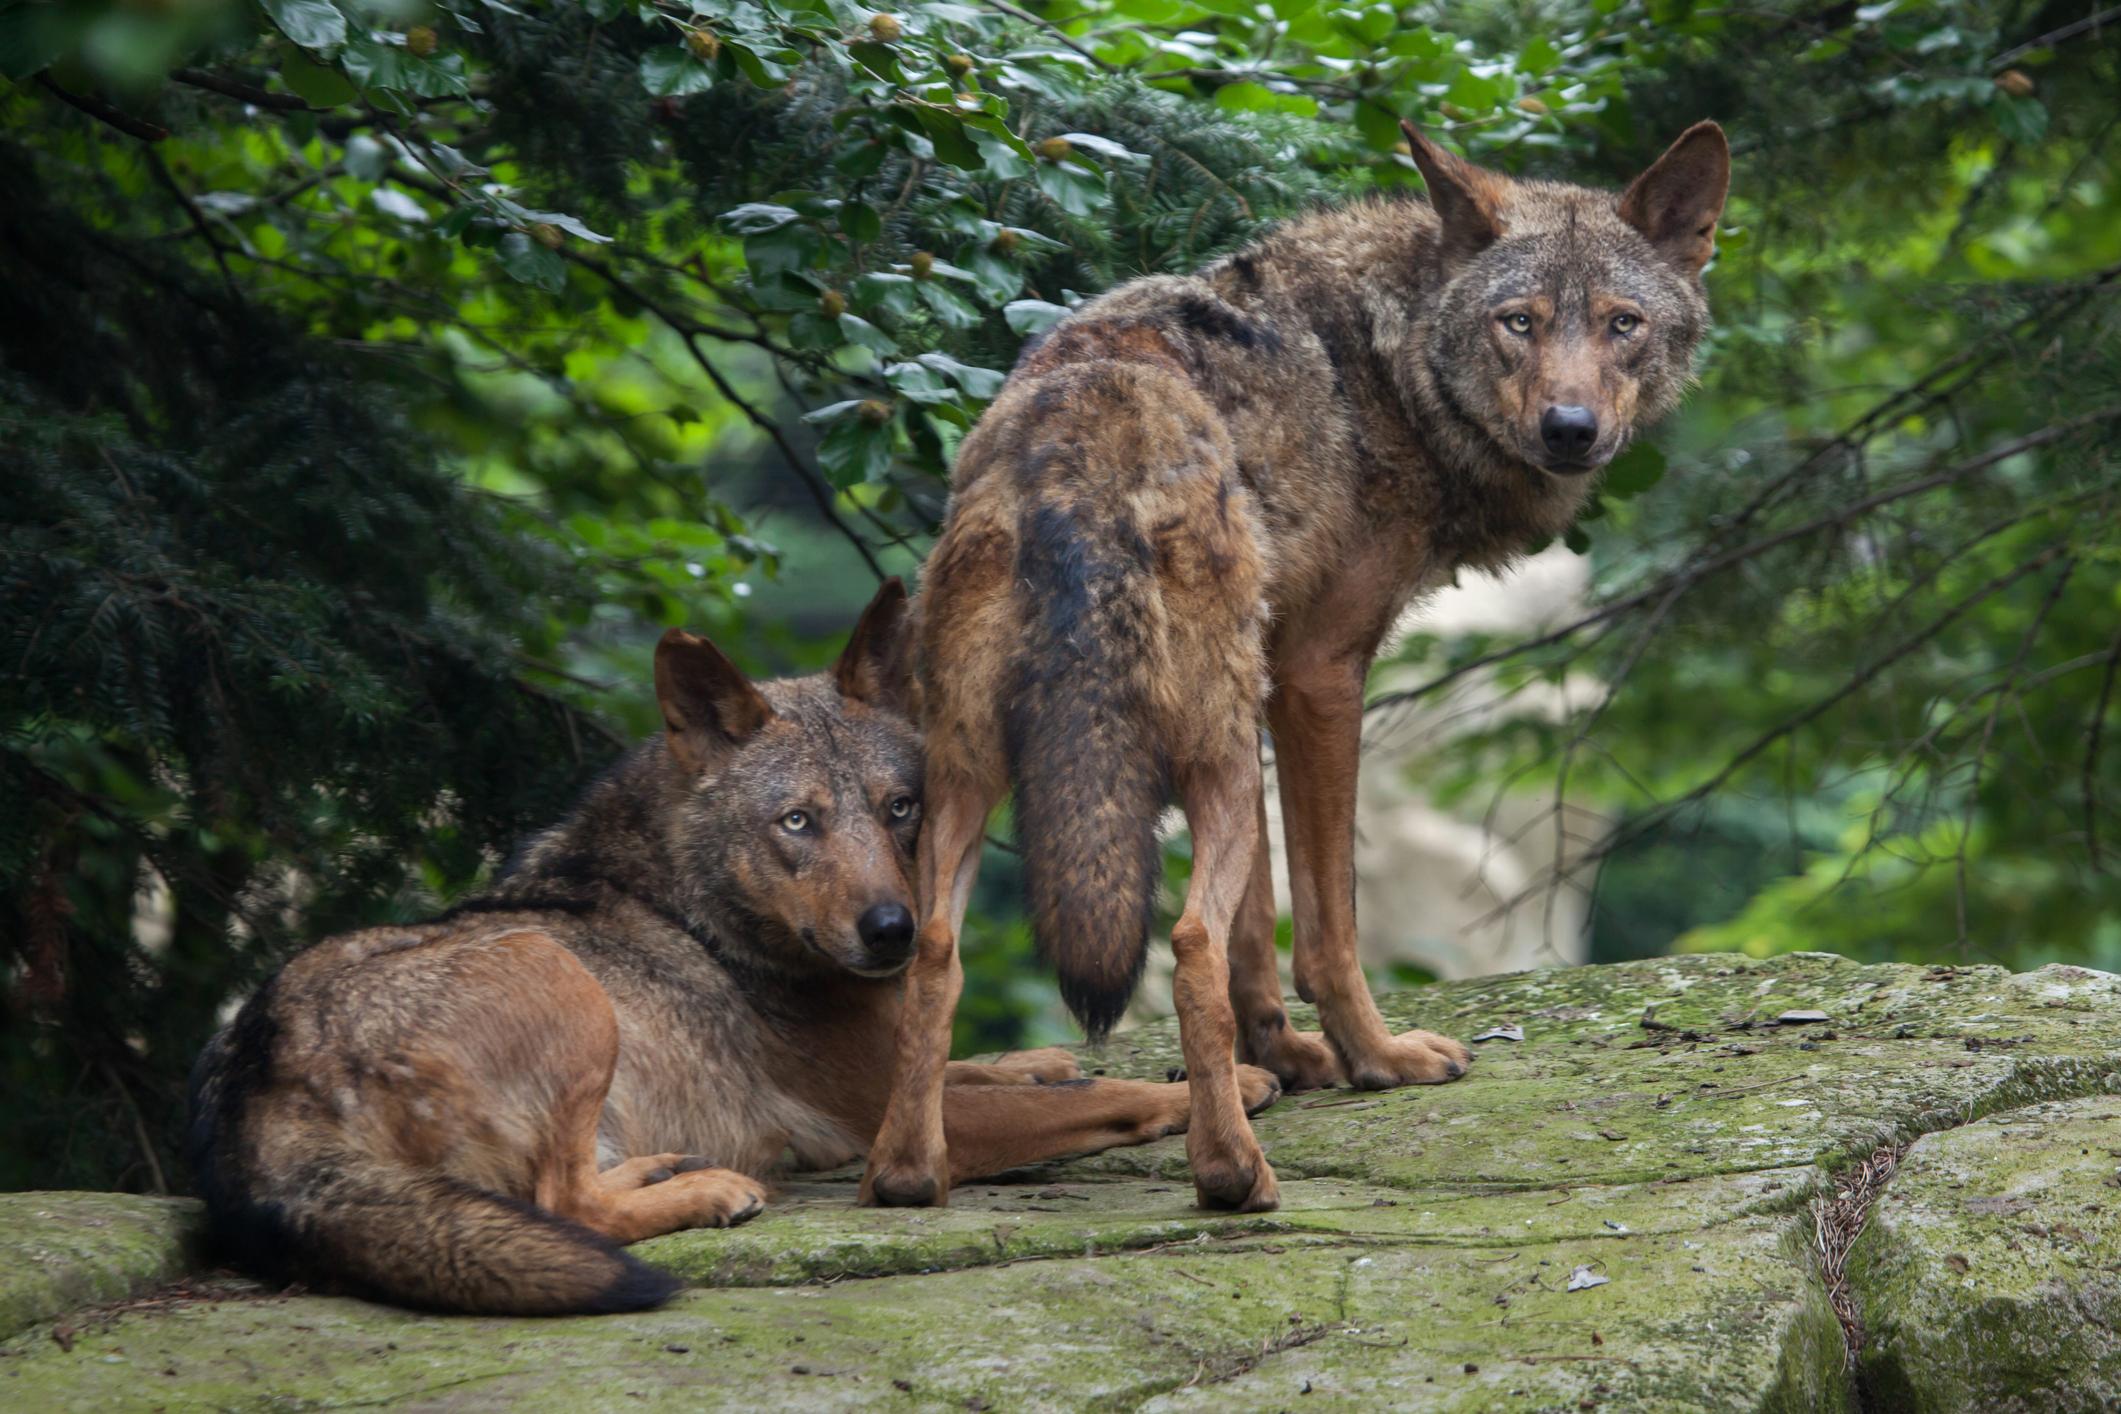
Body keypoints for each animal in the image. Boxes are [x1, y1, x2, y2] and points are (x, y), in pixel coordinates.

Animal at [190, 585, 1272, 1314]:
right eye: (797, 822)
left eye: (900, 809)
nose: (894, 931)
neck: (709, 914)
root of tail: (253, 1087)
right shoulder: (900, 1120)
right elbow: (1103, 1096)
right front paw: (1230, 1088)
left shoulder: (901, 1053)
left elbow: (1001, 1062)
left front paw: (1045, 1056)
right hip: (561, 978)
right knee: (564, 1204)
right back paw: (712, 1189)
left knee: (564, 1192)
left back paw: (671, 1167)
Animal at [869, 118, 1730, 1221]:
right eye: (1519, 323)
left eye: (1623, 324)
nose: (1569, 429)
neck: (1393, 365)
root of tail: (1075, 439)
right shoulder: (1324, 674)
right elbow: (1322, 921)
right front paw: (1375, 1059)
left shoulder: (1268, 682)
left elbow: (1256, 925)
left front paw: (1287, 1057)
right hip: (1212, 759)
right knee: (1186, 944)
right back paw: (1232, 1172)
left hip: (988, 774)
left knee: (937, 953)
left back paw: (908, 1174)